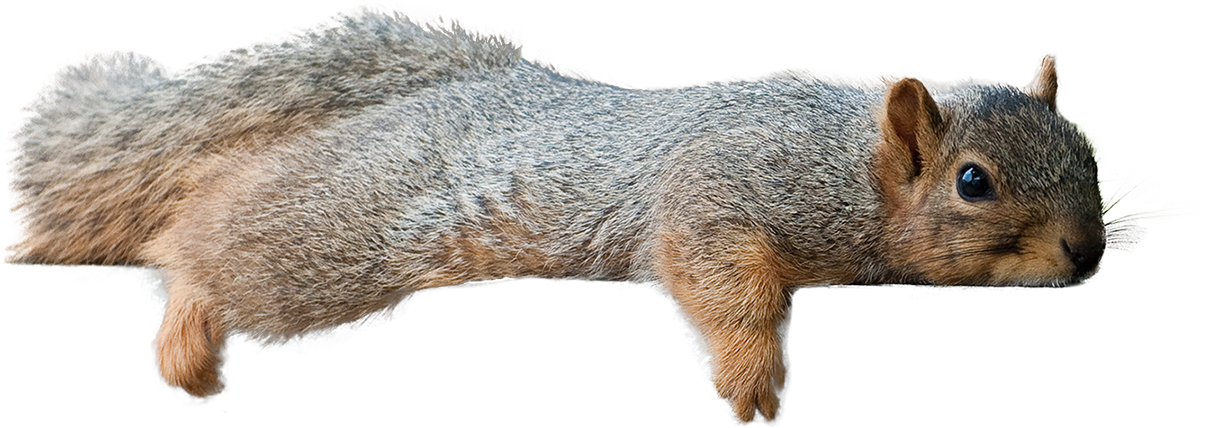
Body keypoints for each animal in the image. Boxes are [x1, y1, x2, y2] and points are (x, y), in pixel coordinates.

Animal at [3, 4, 1106, 425]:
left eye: (1092, 158)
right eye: (973, 182)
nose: (1088, 254)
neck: (855, 162)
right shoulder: (722, 186)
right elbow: (717, 278)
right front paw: (754, 385)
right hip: (328, 246)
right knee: (200, 246)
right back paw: (189, 346)